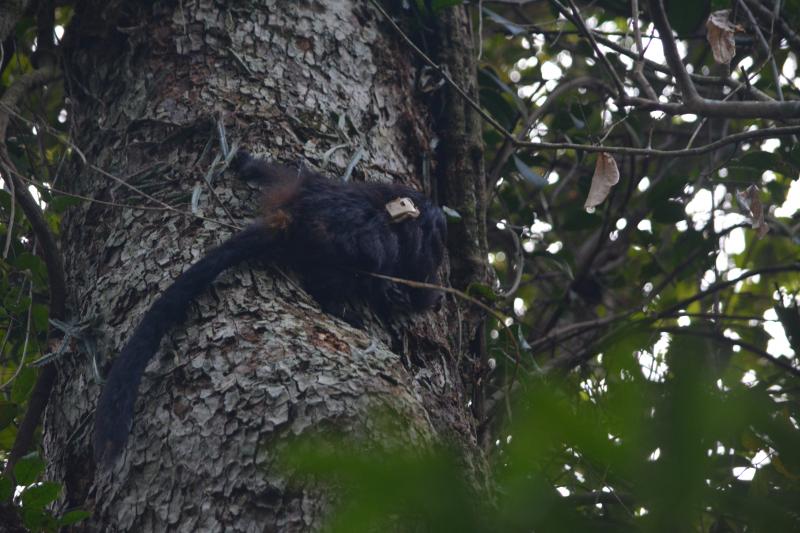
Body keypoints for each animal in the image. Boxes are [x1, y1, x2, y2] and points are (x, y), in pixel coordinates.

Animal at [92, 152, 450, 464]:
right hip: (335, 245)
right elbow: (395, 266)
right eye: (435, 242)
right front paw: (406, 294)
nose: (439, 233)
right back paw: (344, 306)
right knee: (347, 267)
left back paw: (248, 164)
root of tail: (292, 220)